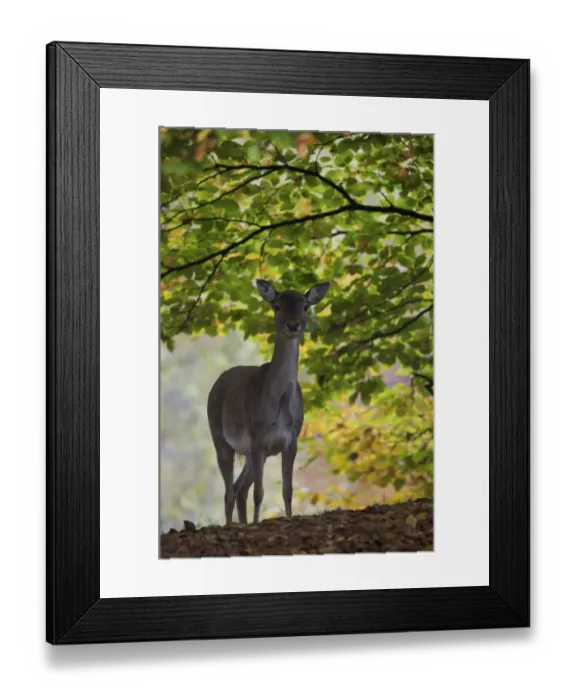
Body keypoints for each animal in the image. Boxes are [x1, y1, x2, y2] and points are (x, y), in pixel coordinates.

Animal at [207, 278, 330, 527]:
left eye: (305, 306)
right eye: (277, 306)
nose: (292, 325)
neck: (279, 406)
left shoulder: (292, 439)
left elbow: (287, 490)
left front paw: (289, 518)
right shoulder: (257, 439)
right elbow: (259, 493)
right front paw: (256, 523)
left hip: (247, 453)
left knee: (239, 488)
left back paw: (242, 522)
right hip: (219, 436)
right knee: (229, 491)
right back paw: (231, 525)